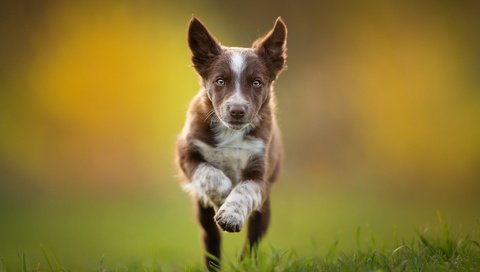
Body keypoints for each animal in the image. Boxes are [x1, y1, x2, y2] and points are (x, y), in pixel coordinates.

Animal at [177, 17, 286, 270]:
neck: (231, 131)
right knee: (211, 238)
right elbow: (209, 173)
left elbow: (244, 191)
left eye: (256, 82)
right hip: (202, 213)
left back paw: (246, 263)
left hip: (264, 209)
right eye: (219, 81)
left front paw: (230, 214)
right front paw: (223, 195)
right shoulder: (186, 153)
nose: (237, 110)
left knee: (254, 239)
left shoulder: (259, 173)